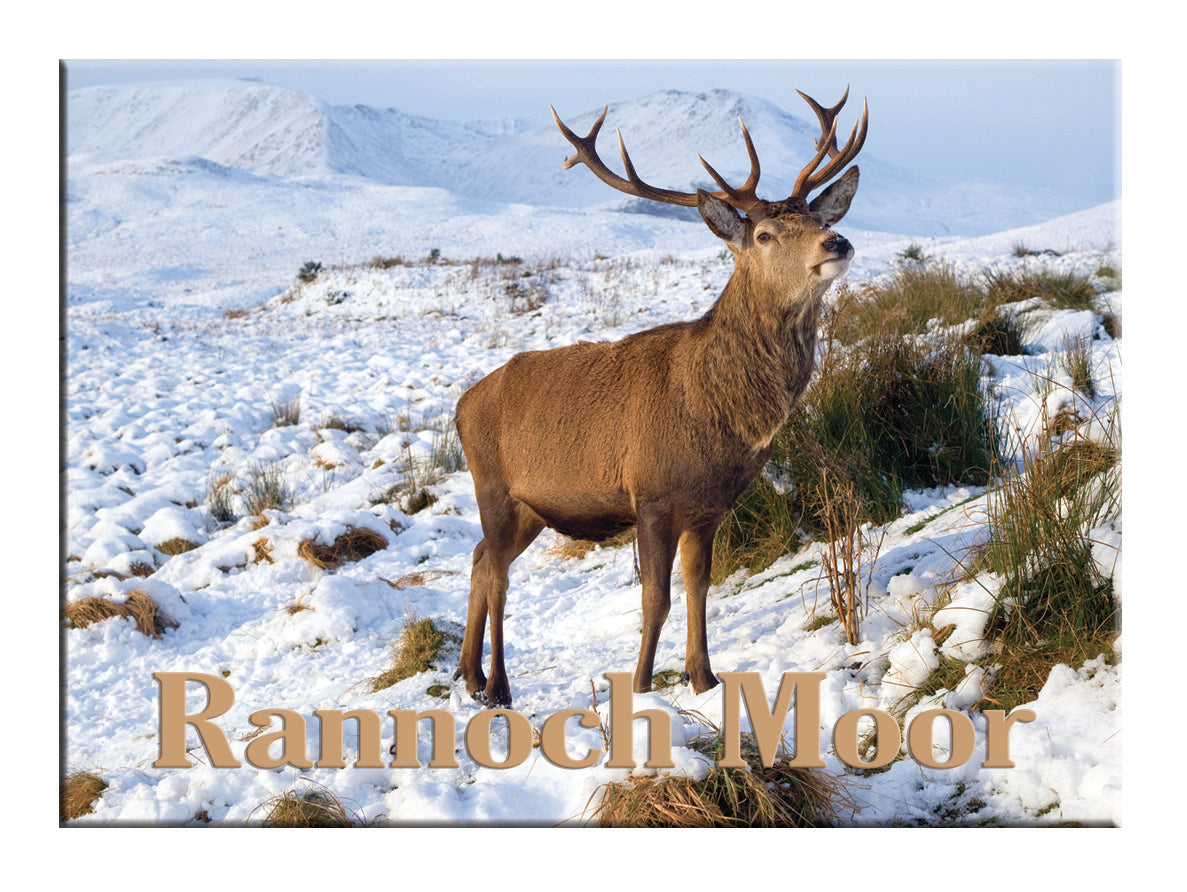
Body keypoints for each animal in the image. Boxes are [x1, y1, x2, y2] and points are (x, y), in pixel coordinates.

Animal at [451, 89, 864, 703]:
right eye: (764, 235)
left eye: (818, 217)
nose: (836, 241)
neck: (717, 414)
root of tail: (460, 406)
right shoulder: (650, 493)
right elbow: (655, 598)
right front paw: (643, 686)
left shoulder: (710, 506)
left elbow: (699, 588)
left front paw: (703, 678)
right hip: (493, 487)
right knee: (497, 573)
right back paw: (498, 685)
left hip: (531, 507)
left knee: (480, 559)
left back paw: (469, 674)